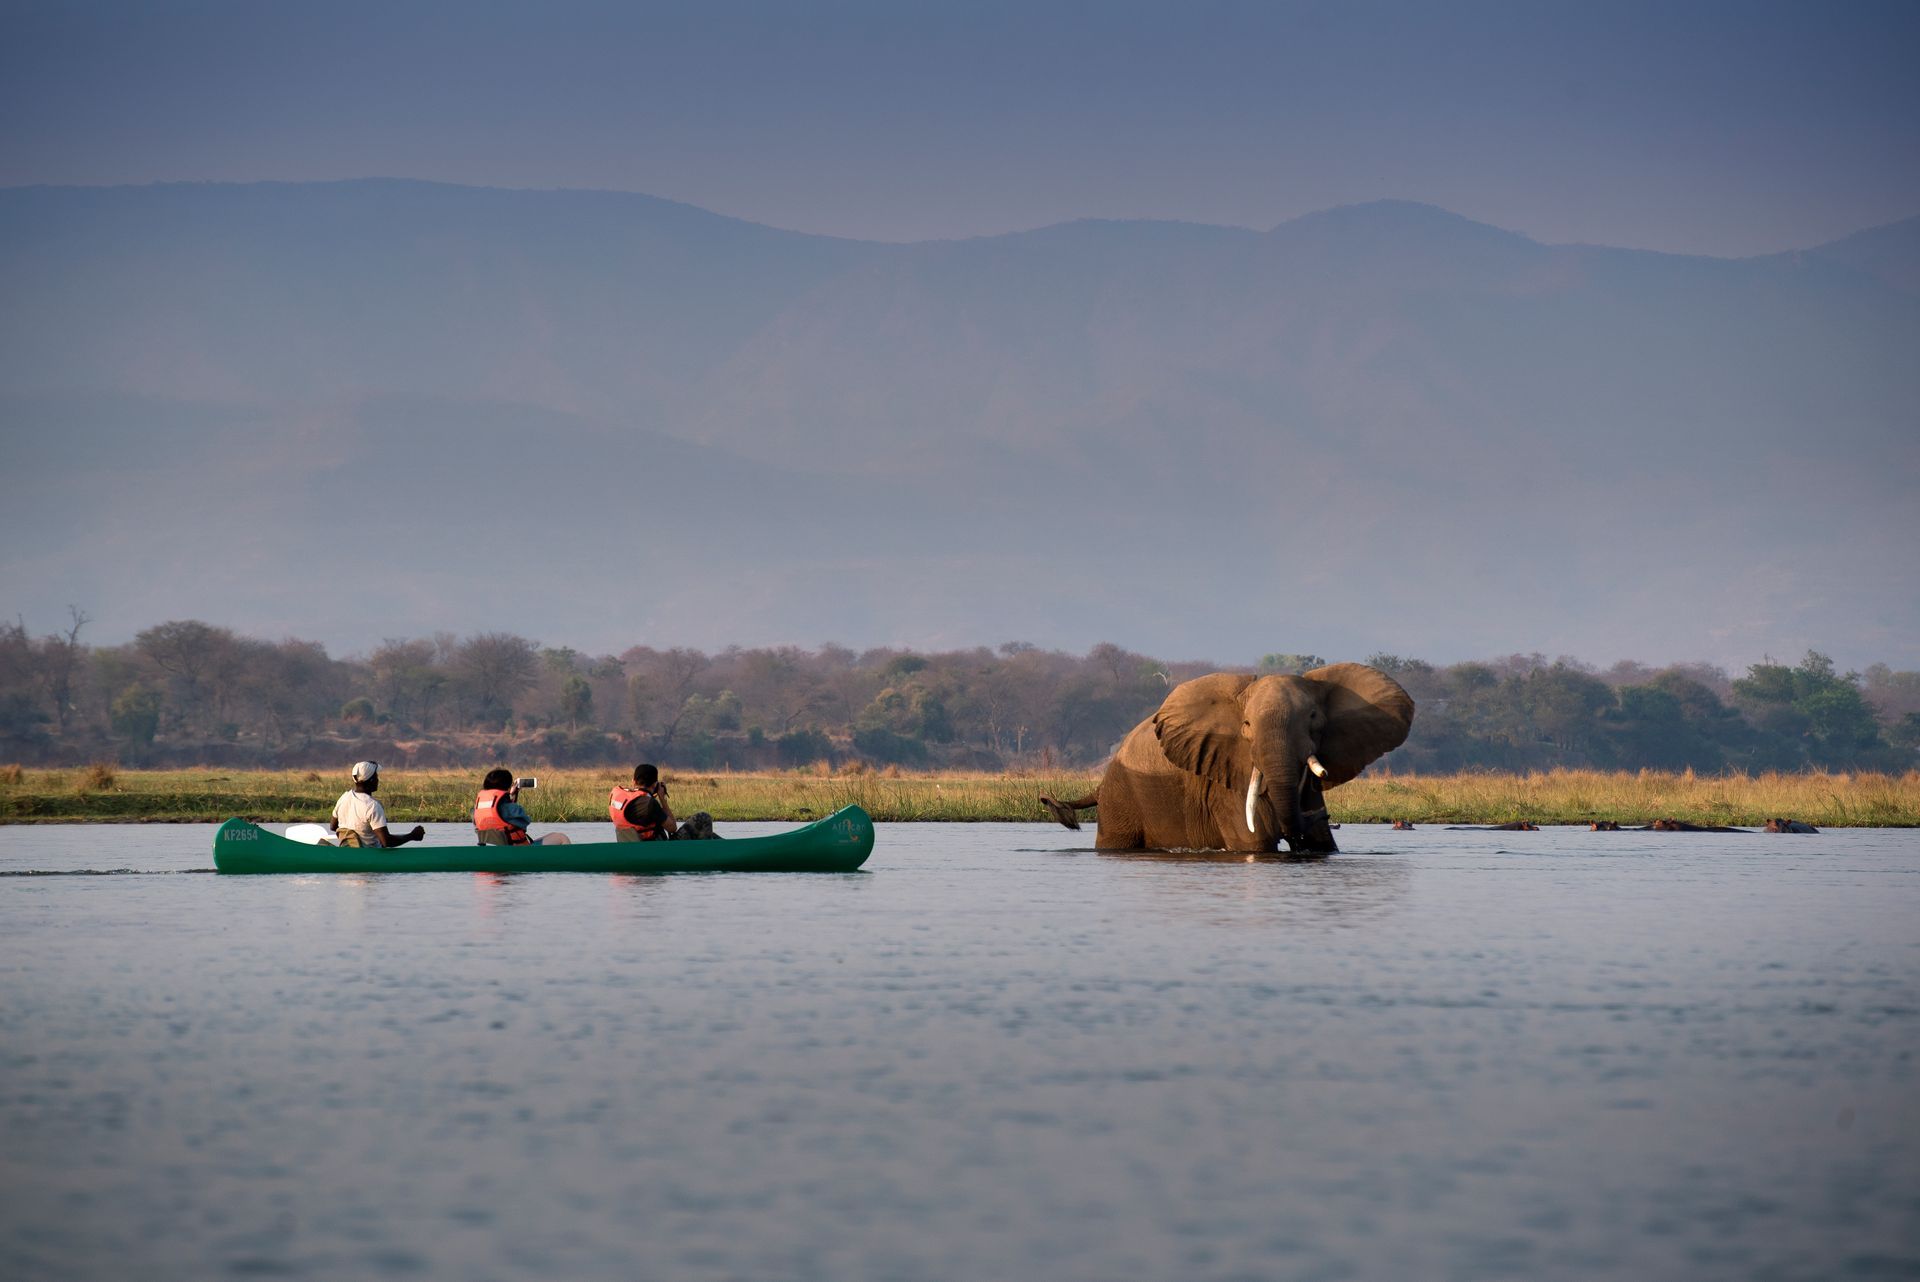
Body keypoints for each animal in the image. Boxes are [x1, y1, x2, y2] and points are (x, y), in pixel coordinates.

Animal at [1040, 663, 1415, 854]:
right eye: (1246, 725)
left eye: (1313, 718)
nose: (1323, 815)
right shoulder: (1224, 777)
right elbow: (1255, 842)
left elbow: (1325, 846)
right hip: (1122, 797)